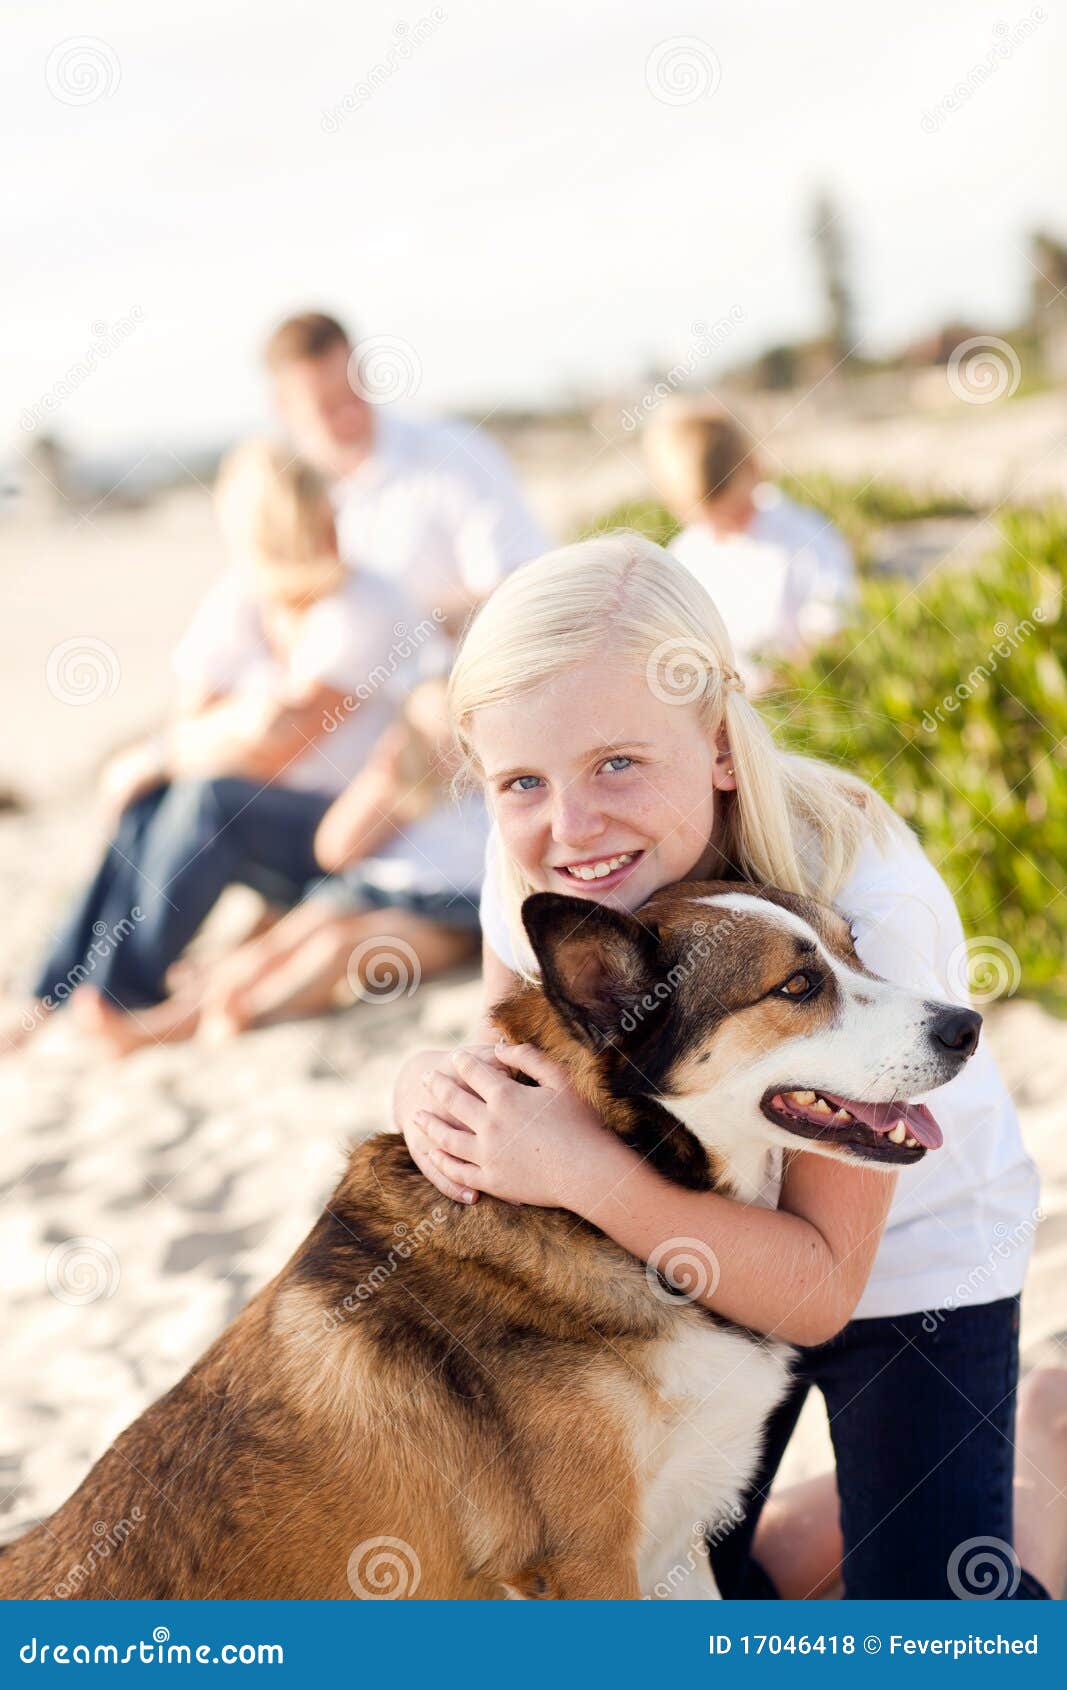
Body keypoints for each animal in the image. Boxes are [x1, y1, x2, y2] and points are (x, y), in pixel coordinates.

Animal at [0, 885, 980, 1595]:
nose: (966, 1025)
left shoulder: (668, 1549)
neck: (601, 1215)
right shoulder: (585, 1561)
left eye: (856, 951)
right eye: (796, 987)